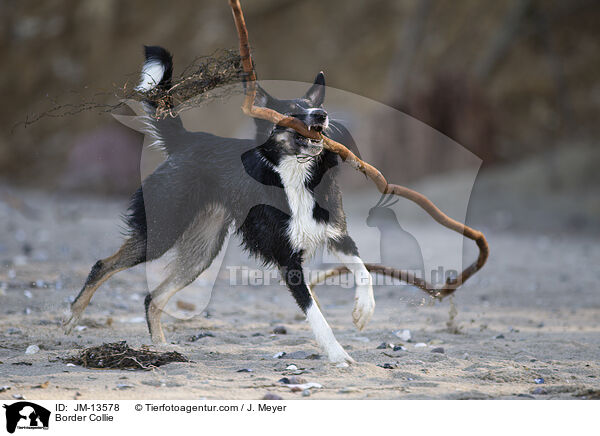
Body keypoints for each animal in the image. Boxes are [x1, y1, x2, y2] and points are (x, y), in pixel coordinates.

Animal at [67, 45, 376, 364]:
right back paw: (74, 316)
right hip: (163, 232)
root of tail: (188, 141)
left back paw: (161, 347)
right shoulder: (288, 261)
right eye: (290, 111)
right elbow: (316, 315)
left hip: (202, 252)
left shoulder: (337, 236)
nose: (321, 114)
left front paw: (363, 311)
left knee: (152, 297)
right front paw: (338, 354)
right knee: (103, 265)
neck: (295, 174)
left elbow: (364, 272)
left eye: (311, 107)